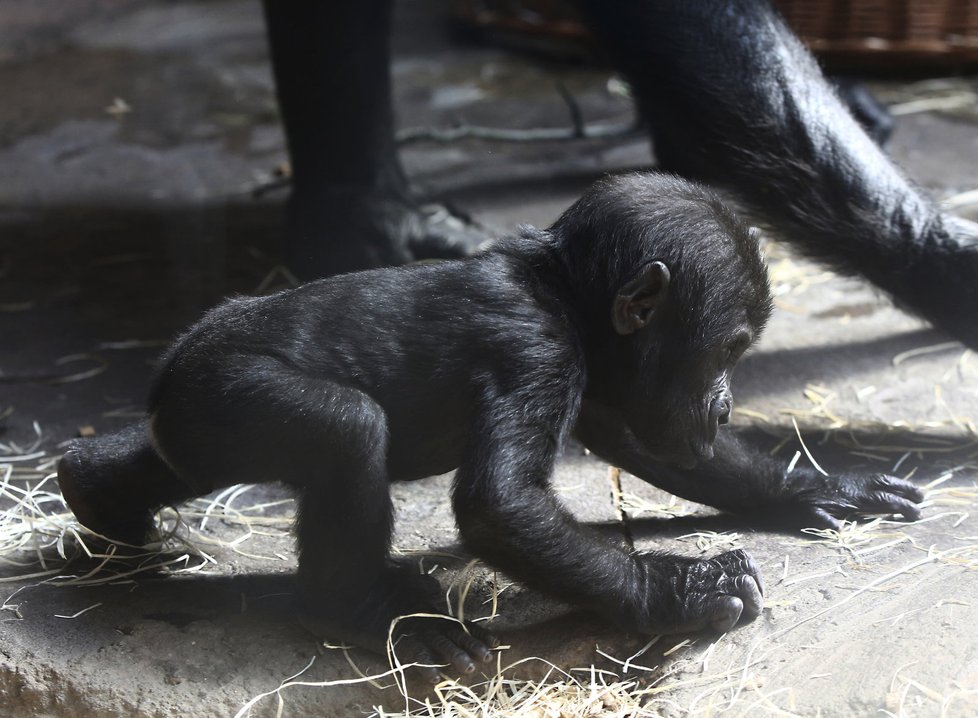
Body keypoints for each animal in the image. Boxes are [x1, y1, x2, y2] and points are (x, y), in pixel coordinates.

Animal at [57, 173, 920, 680]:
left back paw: (93, 490)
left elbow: (650, 445)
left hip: (198, 418)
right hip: (224, 391)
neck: (566, 292)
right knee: (343, 429)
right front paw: (682, 590)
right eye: (730, 349)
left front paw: (816, 487)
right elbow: (500, 503)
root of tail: (167, 372)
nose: (723, 405)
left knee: (173, 459)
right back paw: (364, 613)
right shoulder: (536, 349)